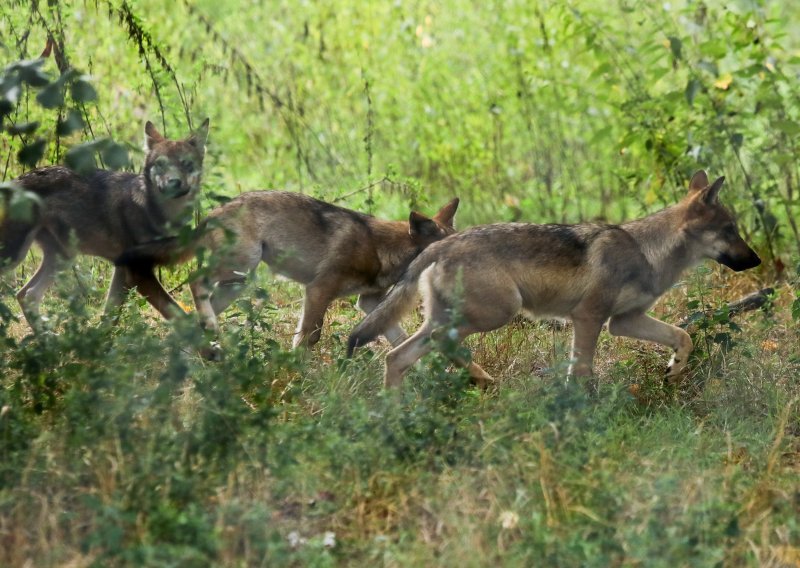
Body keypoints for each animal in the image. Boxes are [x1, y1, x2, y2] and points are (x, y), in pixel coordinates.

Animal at [115, 193, 460, 348]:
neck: (381, 248)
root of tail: (213, 213)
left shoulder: (369, 302)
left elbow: (398, 338)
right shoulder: (318, 291)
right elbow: (309, 338)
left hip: (236, 283)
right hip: (242, 267)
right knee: (195, 283)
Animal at [348, 171, 764, 388]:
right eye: (730, 231)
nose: (757, 260)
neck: (649, 251)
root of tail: (440, 244)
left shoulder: (623, 321)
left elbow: (684, 336)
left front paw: (674, 369)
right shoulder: (589, 318)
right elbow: (580, 372)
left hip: (454, 320)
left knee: (397, 357)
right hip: (495, 314)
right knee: (420, 350)